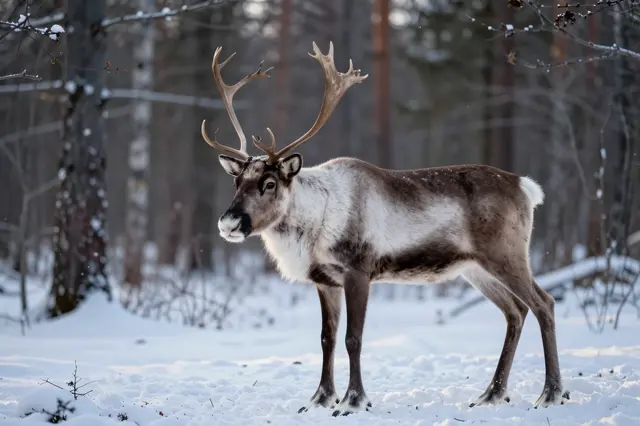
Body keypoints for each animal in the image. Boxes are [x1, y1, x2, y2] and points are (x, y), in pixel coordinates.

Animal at [200, 42, 569, 416]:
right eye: (237, 181)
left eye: (270, 183)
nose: (229, 223)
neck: (314, 223)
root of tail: (526, 187)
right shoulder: (325, 280)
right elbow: (326, 339)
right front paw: (320, 398)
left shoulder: (358, 270)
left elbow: (353, 338)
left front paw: (353, 400)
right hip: (475, 268)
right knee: (515, 312)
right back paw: (491, 393)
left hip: (507, 255)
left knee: (544, 303)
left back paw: (551, 393)